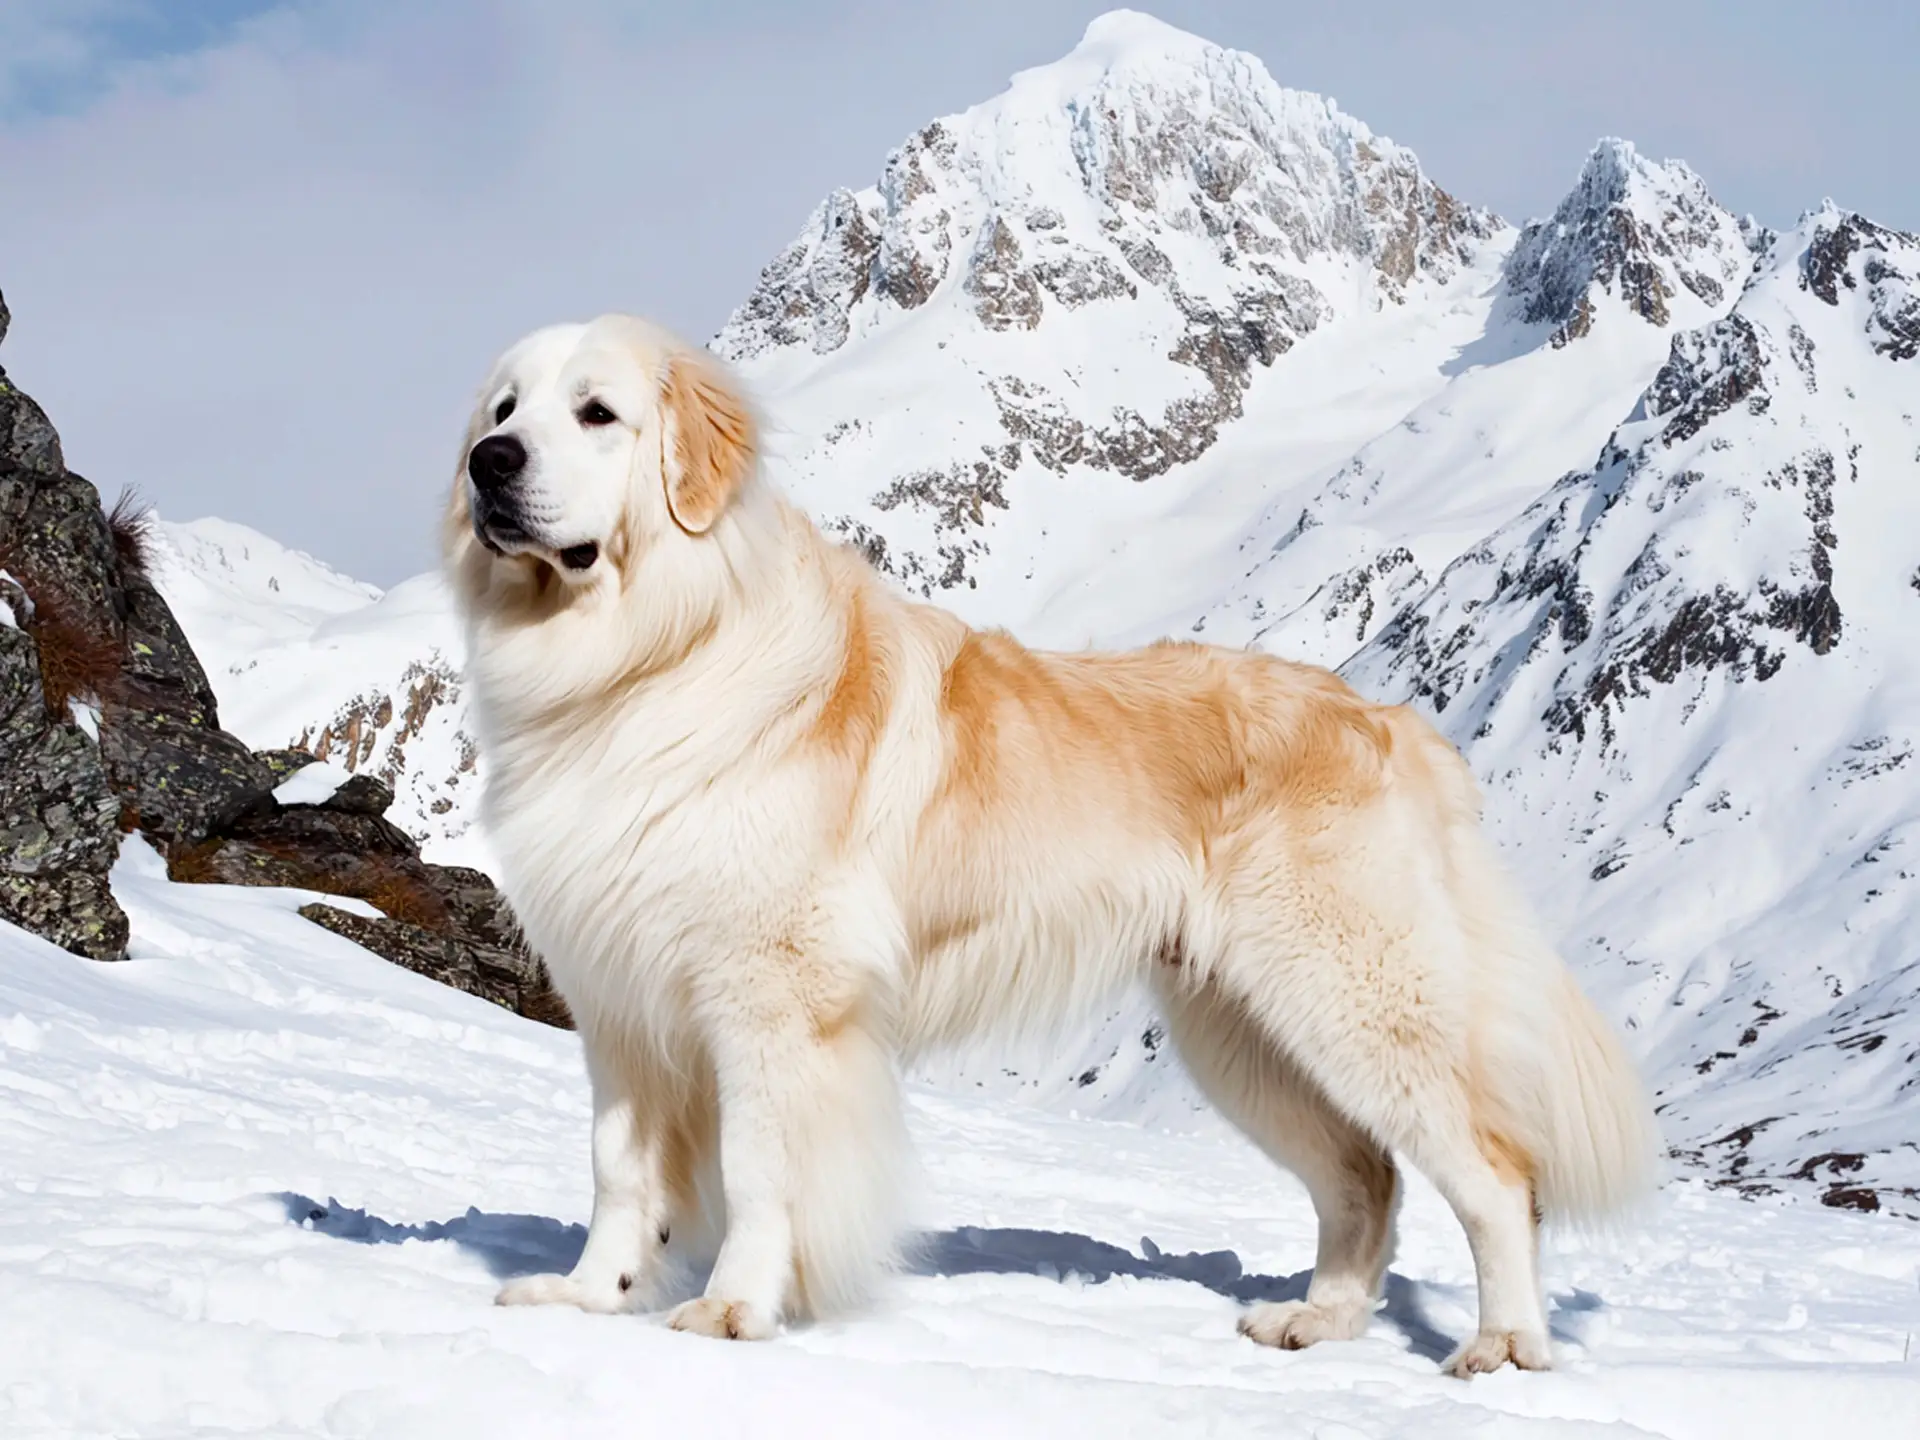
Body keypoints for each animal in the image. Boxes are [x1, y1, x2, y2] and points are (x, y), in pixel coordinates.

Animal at [441, 312, 1658, 1374]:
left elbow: (757, 1168)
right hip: (1243, 1034)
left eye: (597, 412)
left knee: (1496, 1176)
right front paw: (590, 1296)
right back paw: (1316, 1322)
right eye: (505, 407)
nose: (490, 464)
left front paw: (734, 1310)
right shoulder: (619, 1003)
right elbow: (619, 1170)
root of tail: (1396, 722)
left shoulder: (772, 998)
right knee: (1364, 1177)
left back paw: (1503, 1345)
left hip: (1355, 998)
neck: (655, 655)